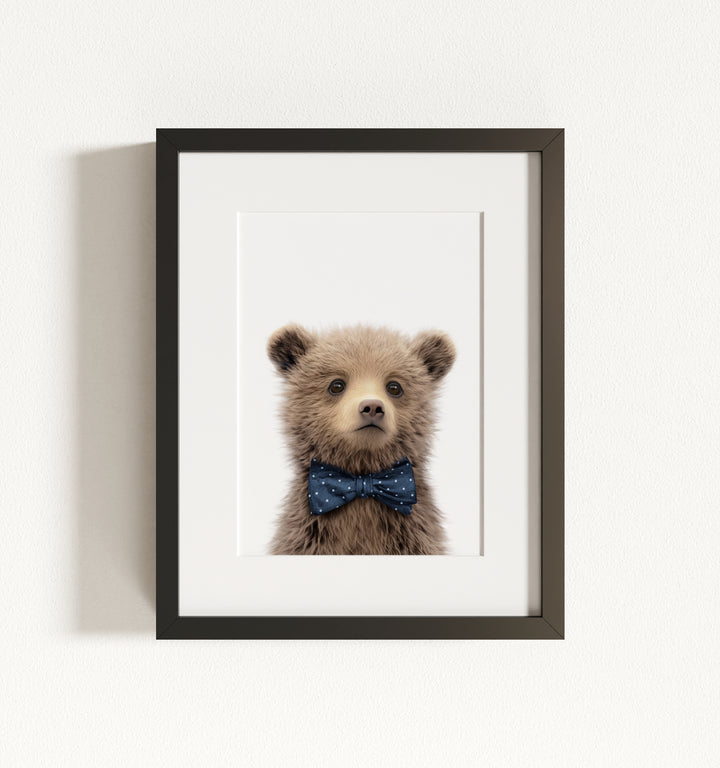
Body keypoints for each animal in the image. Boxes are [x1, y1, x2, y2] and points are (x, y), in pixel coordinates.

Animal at [266, 323, 456, 555]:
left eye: (394, 387)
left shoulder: (413, 535)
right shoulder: (308, 535)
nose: (372, 407)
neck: (362, 473)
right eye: (336, 385)